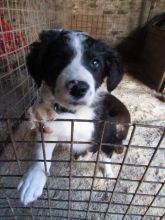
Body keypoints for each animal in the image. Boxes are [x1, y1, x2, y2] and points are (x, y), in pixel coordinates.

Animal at [17, 28, 131, 205]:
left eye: (95, 63)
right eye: (58, 58)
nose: (79, 88)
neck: (70, 111)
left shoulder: (93, 126)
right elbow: (44, 151)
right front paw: (34, 178)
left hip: (111, 130)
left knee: (106, 152)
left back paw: (108, 171)